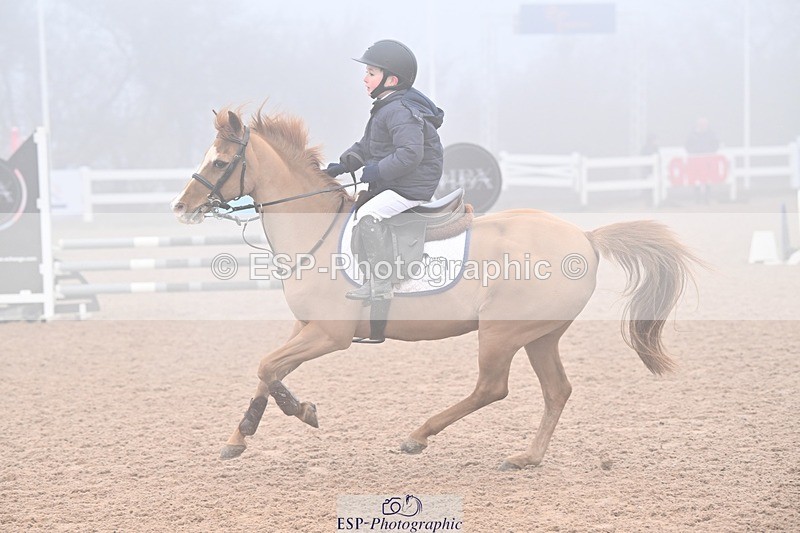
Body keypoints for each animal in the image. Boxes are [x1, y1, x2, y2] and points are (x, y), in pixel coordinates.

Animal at [170, 107, 700, 470]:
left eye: (219, 162)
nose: (181, 207)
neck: (316, 230)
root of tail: (585, 237)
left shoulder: (330, 334)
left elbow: (267, 366)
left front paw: (292, 414)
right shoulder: (305, 328)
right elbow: (269, 369)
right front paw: (250, 432)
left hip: (502, 333)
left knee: (492, 387)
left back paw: (418, 435)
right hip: (540, 336)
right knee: (556, 391)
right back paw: (526, 458)